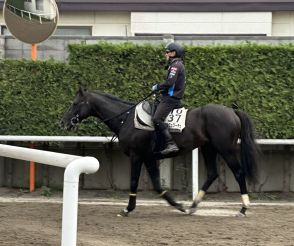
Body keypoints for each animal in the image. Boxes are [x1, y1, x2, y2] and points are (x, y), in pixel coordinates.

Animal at [60, 88, 258, 217]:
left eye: (75, 103)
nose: (63, 122)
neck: (126, 118)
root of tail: (232, 111)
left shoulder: (137, 156)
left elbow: (134, 182)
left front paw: (127, 209)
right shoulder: (149, 158)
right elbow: (157, 184)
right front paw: (178, 205)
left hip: (226, 149)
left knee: (239, 173)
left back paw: (243, 208)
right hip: (208, 148)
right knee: (212, 174)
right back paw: (193, 206)